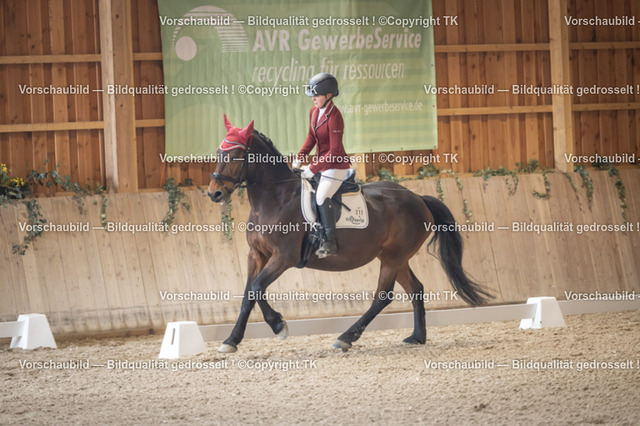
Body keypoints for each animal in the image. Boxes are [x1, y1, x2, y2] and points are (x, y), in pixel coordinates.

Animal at [208, 115, 492, 353]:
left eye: (235, 155)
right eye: (219, 152)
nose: (214, 193)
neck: (274, 198)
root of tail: (418, 198)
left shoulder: (284, 257)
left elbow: (257, 287)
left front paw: (278, 325)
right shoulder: (256, 255)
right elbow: (248, 294)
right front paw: (231, 340)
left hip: (393, 258)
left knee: (383, 296)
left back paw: (346, 337)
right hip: (396, 258)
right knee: (416, 289)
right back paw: (416, 337)